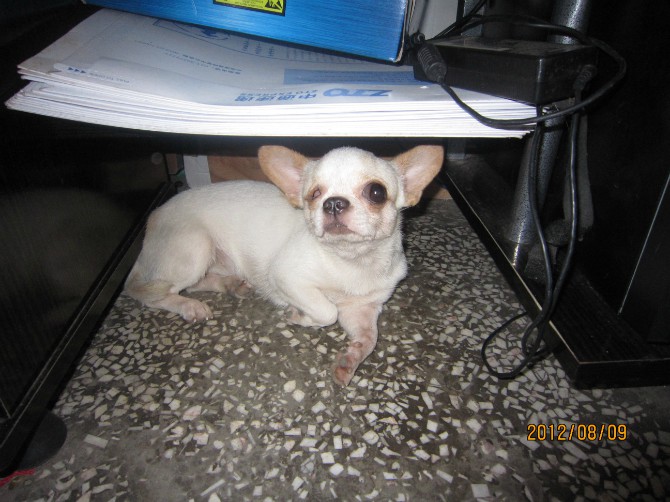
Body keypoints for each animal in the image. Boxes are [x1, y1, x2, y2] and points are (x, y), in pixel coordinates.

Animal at [125, 145, 444, 385]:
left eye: (376, 192)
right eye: (313, 195)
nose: (333, 203)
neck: (352, 261)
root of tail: (153, 219)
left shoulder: (363, 310)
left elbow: (369, 338)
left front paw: (350, 359)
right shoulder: (288, 278)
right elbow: (326, 311)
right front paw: (299, 317)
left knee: (193, 283)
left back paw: (231, 285)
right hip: (195, 248)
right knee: (150, 292)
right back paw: (188, 306)